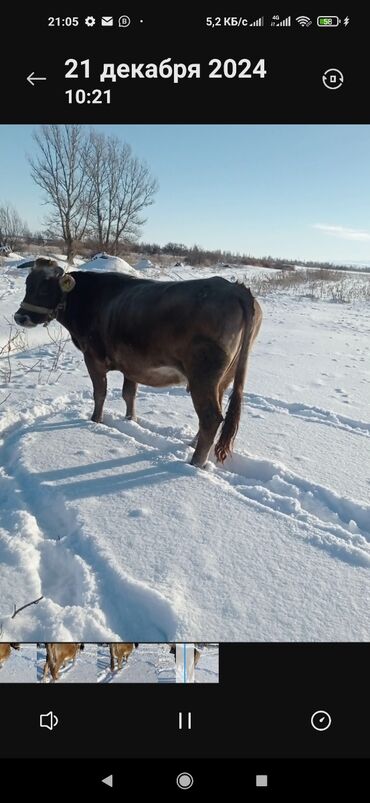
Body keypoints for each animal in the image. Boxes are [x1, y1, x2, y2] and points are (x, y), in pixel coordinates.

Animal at [14, 260, 262, 468]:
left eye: (45, 288)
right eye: (27, 284)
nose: (19, 317)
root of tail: (235, 288)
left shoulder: (92, 357)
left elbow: (100, 393)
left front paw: (95, 421)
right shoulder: (131, 365)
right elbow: (128, 394)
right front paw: (130, 420)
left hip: (204, 375)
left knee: (211, 417)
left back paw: (195, 463)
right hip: (224, 377)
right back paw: (193, 446)